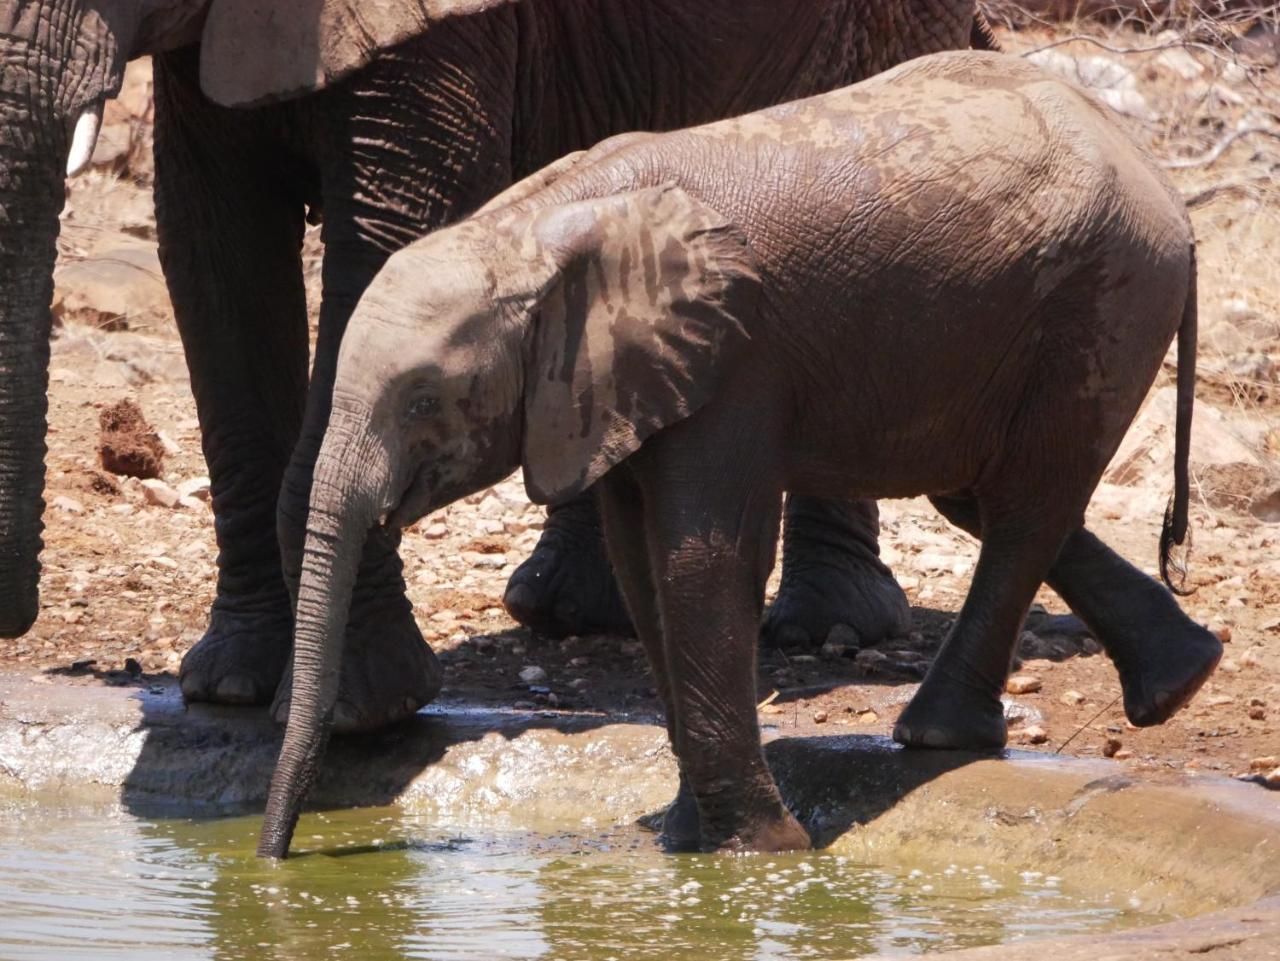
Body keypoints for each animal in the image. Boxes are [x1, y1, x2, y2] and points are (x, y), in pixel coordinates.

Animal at [0, 0, 988, 726]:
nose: (15, 627)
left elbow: (384, 241)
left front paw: (355, 709)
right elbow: (213, 252)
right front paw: (230, 686)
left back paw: (828, 627)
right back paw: (571, 612)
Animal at [257, 52, 1218, 859]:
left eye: (423, 399)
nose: (274, 863)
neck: (530, 229)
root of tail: (1164, 185)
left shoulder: (734, 361)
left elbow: (702, 557)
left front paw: (757, 850)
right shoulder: (619, 388)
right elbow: (640, 560)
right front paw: (690, 836)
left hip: (1106, 296)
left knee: (1024, 502)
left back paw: (941, 735)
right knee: (985, 492)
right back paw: (1178, 679)